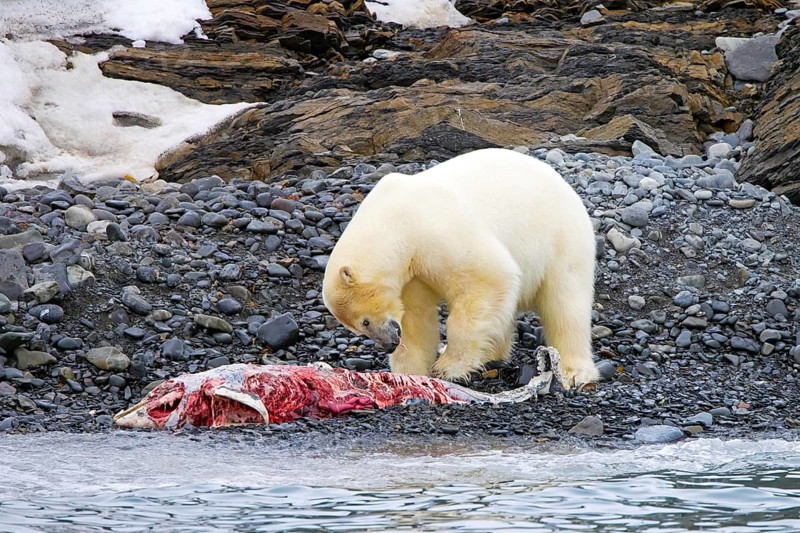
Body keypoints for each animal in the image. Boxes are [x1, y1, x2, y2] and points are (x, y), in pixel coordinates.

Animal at [322, 148, 599, 387]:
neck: (394, 221)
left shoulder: (435, 231)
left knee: (565, 304)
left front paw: (449, 367)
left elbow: (488, 278)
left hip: (561, 238)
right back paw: (490, 354)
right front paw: (410, 371)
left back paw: (574, 371)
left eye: (365, 321)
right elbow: (415, 317)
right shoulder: (411, 273)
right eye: (359, 327)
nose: (389, 343)